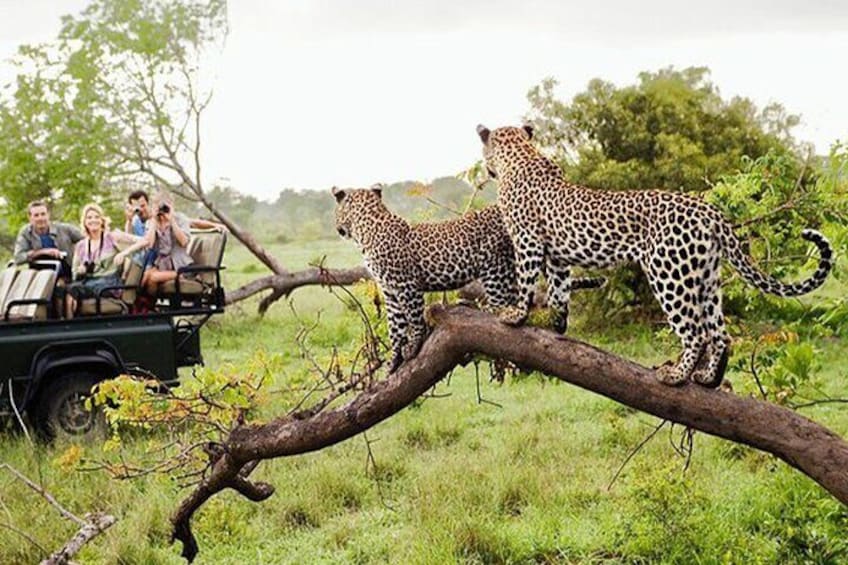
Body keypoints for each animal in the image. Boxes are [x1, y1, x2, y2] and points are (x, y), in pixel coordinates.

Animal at [332, 185, 604, 372]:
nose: (338, 229)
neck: (366, 229)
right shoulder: (389, 291)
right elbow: (395, 327)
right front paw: (393, 362)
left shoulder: (406, 286)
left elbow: (413, 319)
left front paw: (413, 346)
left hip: (495, 267)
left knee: (503, 306)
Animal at [475, 124, 833, 388]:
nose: (486, 169)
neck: (521, 155)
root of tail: (710, 211)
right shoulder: (558, 256)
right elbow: (559, 291)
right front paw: (558, 324)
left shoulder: (527, 241)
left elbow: (526, 281)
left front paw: (515, 315)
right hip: (706, 278)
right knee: (720, 333)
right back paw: (707, 378)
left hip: (669, 273)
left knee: (696, 332)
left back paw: (676, 376)